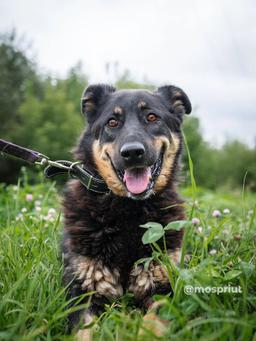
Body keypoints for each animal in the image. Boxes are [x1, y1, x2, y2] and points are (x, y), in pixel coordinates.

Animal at [61, 83, 190, 338]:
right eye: (112, 122)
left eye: (152, 117)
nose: (132, 153)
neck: (128, 210)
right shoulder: (82, 292)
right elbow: (85, 332)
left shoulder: (163, 287)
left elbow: (153, 323)